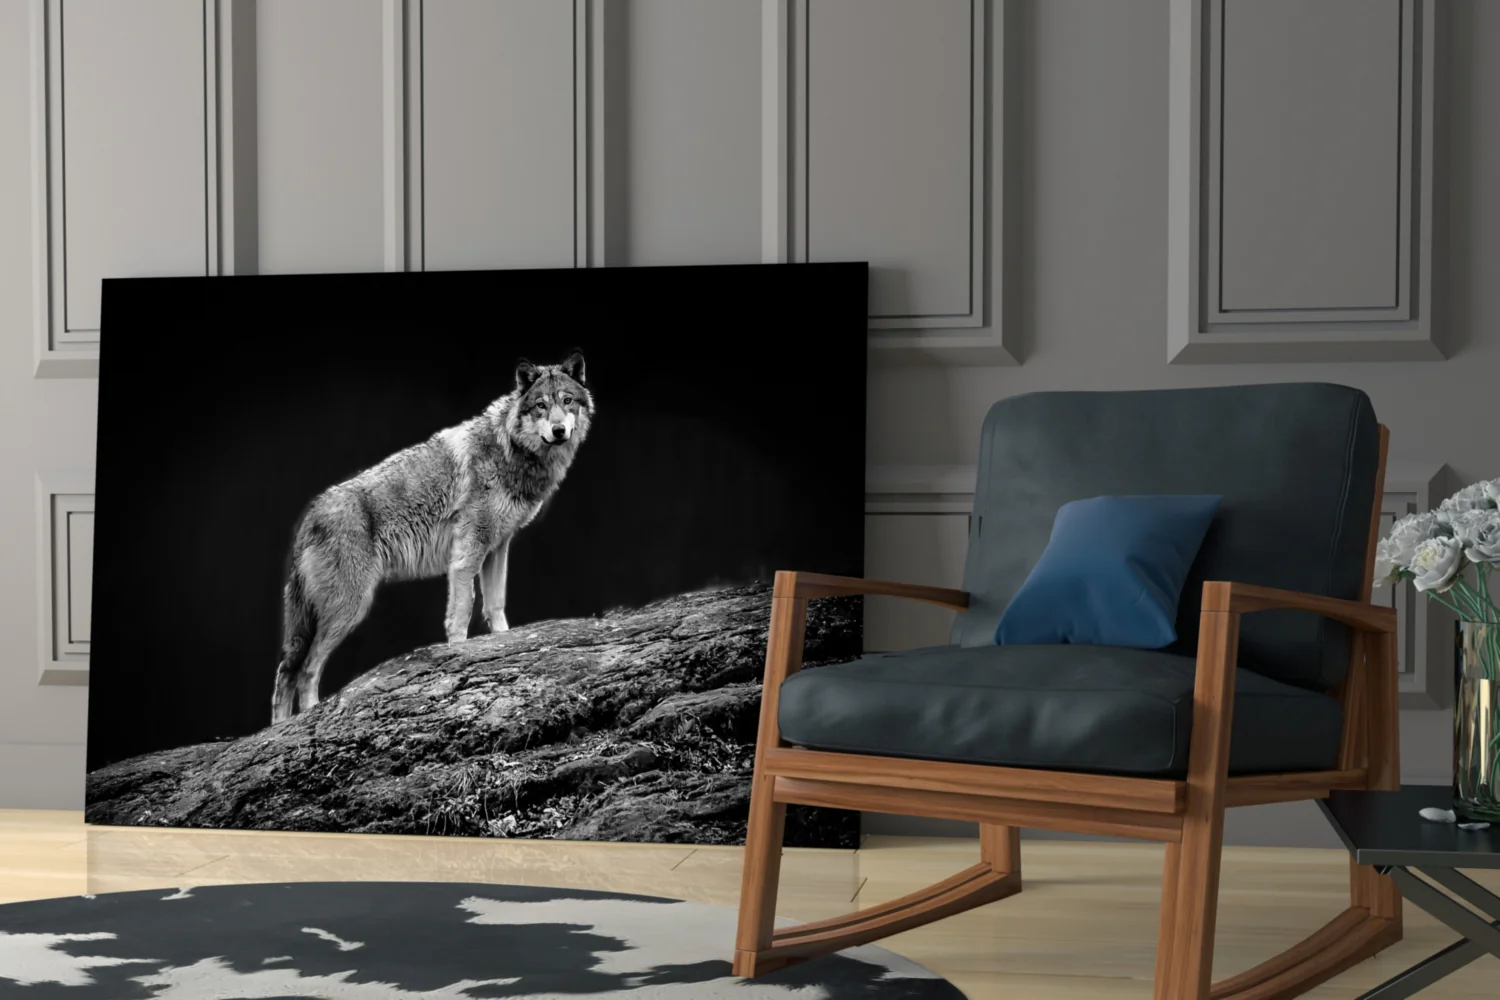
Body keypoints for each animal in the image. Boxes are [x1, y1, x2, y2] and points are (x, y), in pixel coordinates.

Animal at [270, 349, 594, 722]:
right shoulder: (467, 555)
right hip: (349, 607)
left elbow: (496, 605)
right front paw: (460, 653)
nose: (558, 430)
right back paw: (303, 719)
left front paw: (504, 643)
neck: (509, 449)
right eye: (541, 405)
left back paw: (279, 729)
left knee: (285, 672)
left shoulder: (497, 548)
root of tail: (309, 516)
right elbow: (462, 612)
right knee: (304, 669)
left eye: (567, 401)